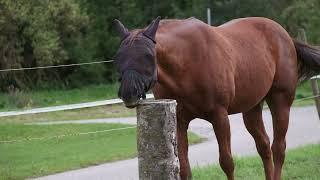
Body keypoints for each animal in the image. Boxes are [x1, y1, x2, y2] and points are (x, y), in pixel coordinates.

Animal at [114, 16, 320, 179]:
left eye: (149, 55)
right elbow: (184, 169)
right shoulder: (179, 121)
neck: (187, 63)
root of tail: (286, 36)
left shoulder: (219, 117)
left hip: (280, 101)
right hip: (252, 109)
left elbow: (227, 162)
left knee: (278, 148)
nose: (129, 93)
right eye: (119, 56)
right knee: (264, 146)